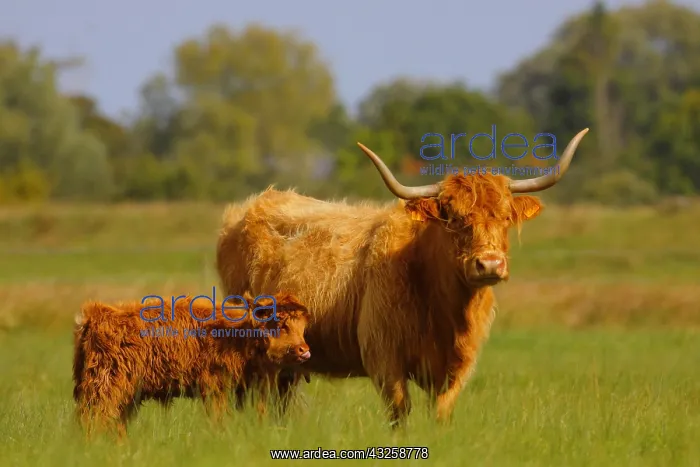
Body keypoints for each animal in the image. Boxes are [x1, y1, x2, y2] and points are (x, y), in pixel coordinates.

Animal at [72, 292, 311, 437]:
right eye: (280, 324)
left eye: (302, 326)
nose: (304, 350)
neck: (236, 335)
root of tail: (96, 316)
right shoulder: (214, 388)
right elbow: (218, 417)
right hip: (105, 387)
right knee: (95, 418)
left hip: (126, 394)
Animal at [216, 128, 589, 427]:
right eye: (453, 218)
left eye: (505, 217)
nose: (489, 264)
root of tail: (252, 205)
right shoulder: (384, 361)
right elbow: (400, 415)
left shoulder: (456, 369)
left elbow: (440, 415)